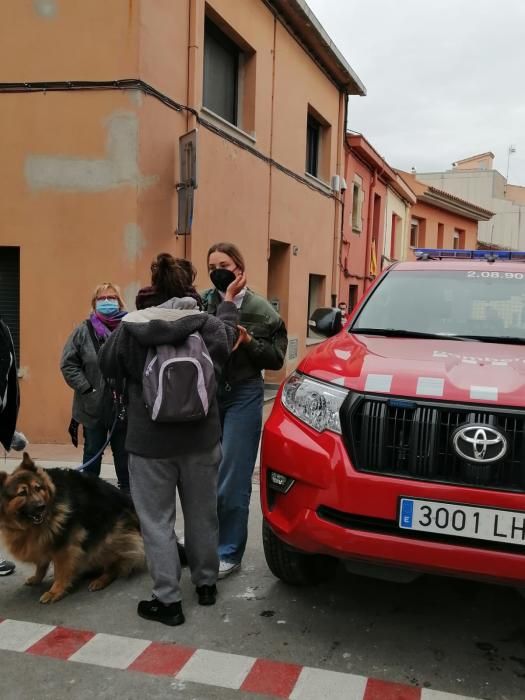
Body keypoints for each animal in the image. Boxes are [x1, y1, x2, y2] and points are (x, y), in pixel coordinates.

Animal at [0, 454, 144, 600]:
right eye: (22, 493)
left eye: (38, 488)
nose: (41, 506)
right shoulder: (43, 540)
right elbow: (41, 564)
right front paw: (37, 578)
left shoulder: (65, 545)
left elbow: (60, 570)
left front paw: (55, 591)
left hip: (106, 540)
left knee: (115, 566)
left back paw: (100, 580)